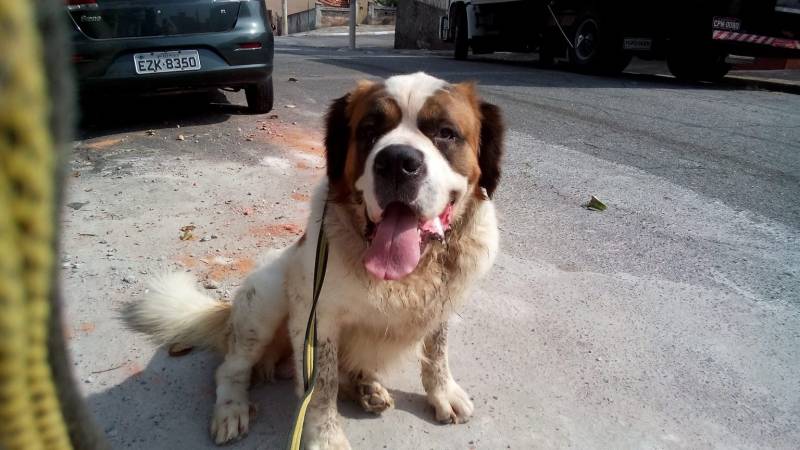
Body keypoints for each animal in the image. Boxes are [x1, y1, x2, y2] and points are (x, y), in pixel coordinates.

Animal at [122, 72, 504, 448]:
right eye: (369, 130)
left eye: (445, 132)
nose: (397, 161)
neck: (407, 275)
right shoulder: (317, 317)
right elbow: (321, 386)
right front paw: (325, 438)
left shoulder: (442, 301)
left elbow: (437, 350)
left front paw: (443, 392)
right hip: (266, 297)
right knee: (232, 367)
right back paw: (232, 408)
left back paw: (367, 388)